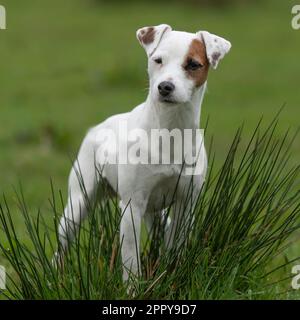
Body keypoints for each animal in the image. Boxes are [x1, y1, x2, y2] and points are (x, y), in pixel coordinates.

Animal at [54, 24, 232, 280]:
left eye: (193, 64)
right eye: (158, 60)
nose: (165, 87)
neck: (170, 132)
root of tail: (96, 128)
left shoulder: (186, 204)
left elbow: (176, 247)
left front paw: (172, 274)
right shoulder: (131, 207)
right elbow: (131, 261)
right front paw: (133, 286)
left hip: (155, 213)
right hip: (78, 203)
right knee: (61, 248)